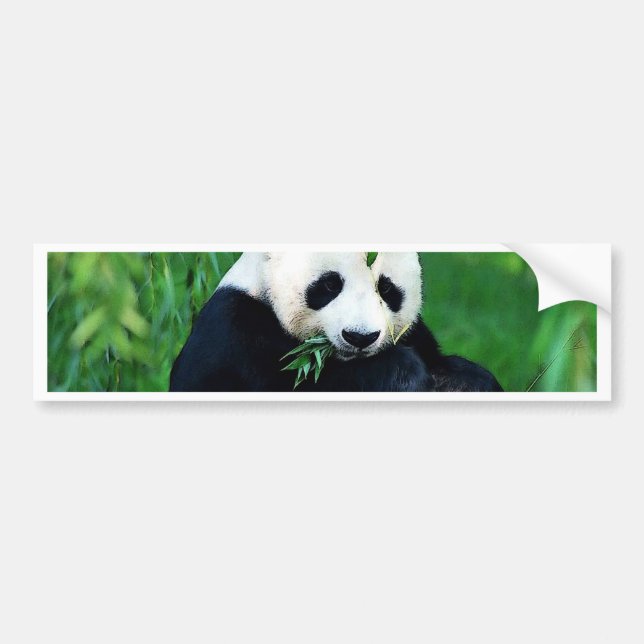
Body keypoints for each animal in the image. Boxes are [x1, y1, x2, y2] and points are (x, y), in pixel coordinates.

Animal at [169, 252, 502, 392]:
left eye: (385, 288)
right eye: (330, 285)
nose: (360, 337)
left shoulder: (413, 332)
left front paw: (462, 382)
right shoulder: (232, 332)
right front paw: (398, 373)